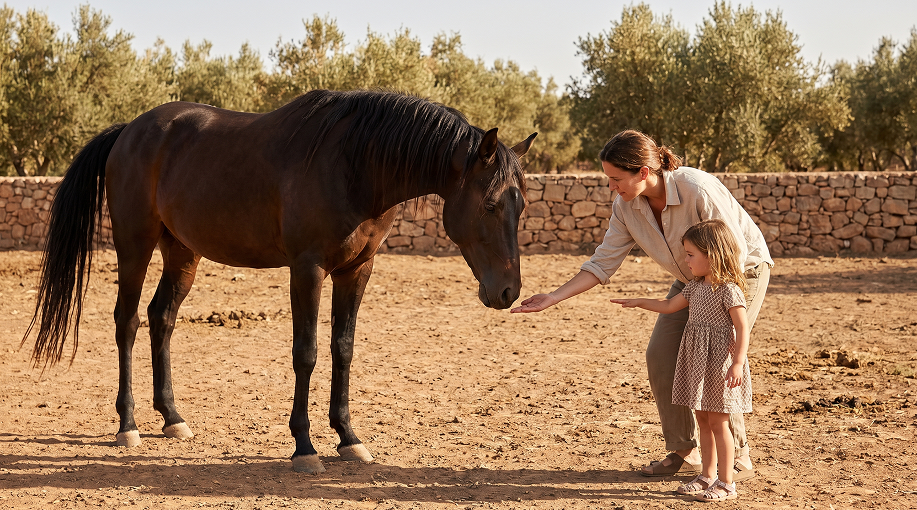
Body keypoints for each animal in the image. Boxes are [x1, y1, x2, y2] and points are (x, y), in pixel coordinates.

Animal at [24, 89, 536, 474]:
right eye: (491, 204)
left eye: (522, 205)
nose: (508, 292)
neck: (354, 165)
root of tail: (129, 130)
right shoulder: (306, 269)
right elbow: (306, 353)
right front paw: (305, 447)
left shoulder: (357, 270)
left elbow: (343, 349)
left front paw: (348, 437)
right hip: (135, 244)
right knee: (127, 322)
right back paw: (127, 424)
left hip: (182, 251)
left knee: (161, 318)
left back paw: (172, 417)